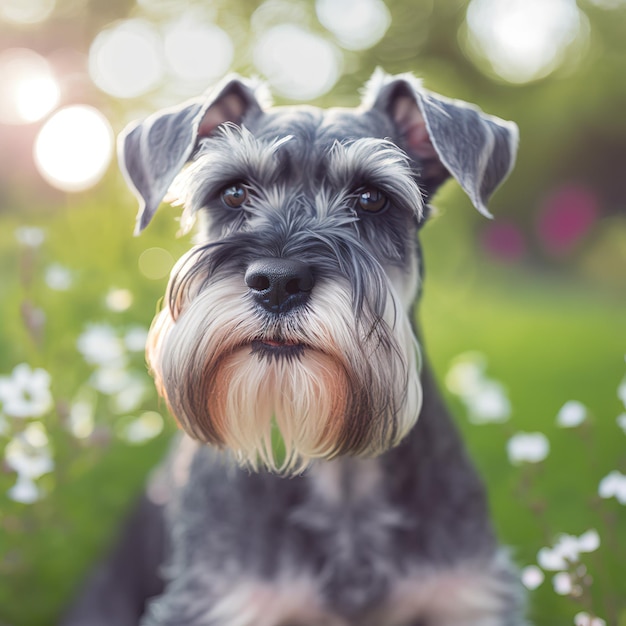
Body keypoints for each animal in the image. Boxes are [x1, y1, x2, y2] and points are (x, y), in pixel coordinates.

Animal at [62, 69, 520, 624]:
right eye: (234, 192)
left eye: (371, 198)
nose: (276, 282)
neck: (342, 473)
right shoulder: (221, 602)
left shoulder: (470, 597)